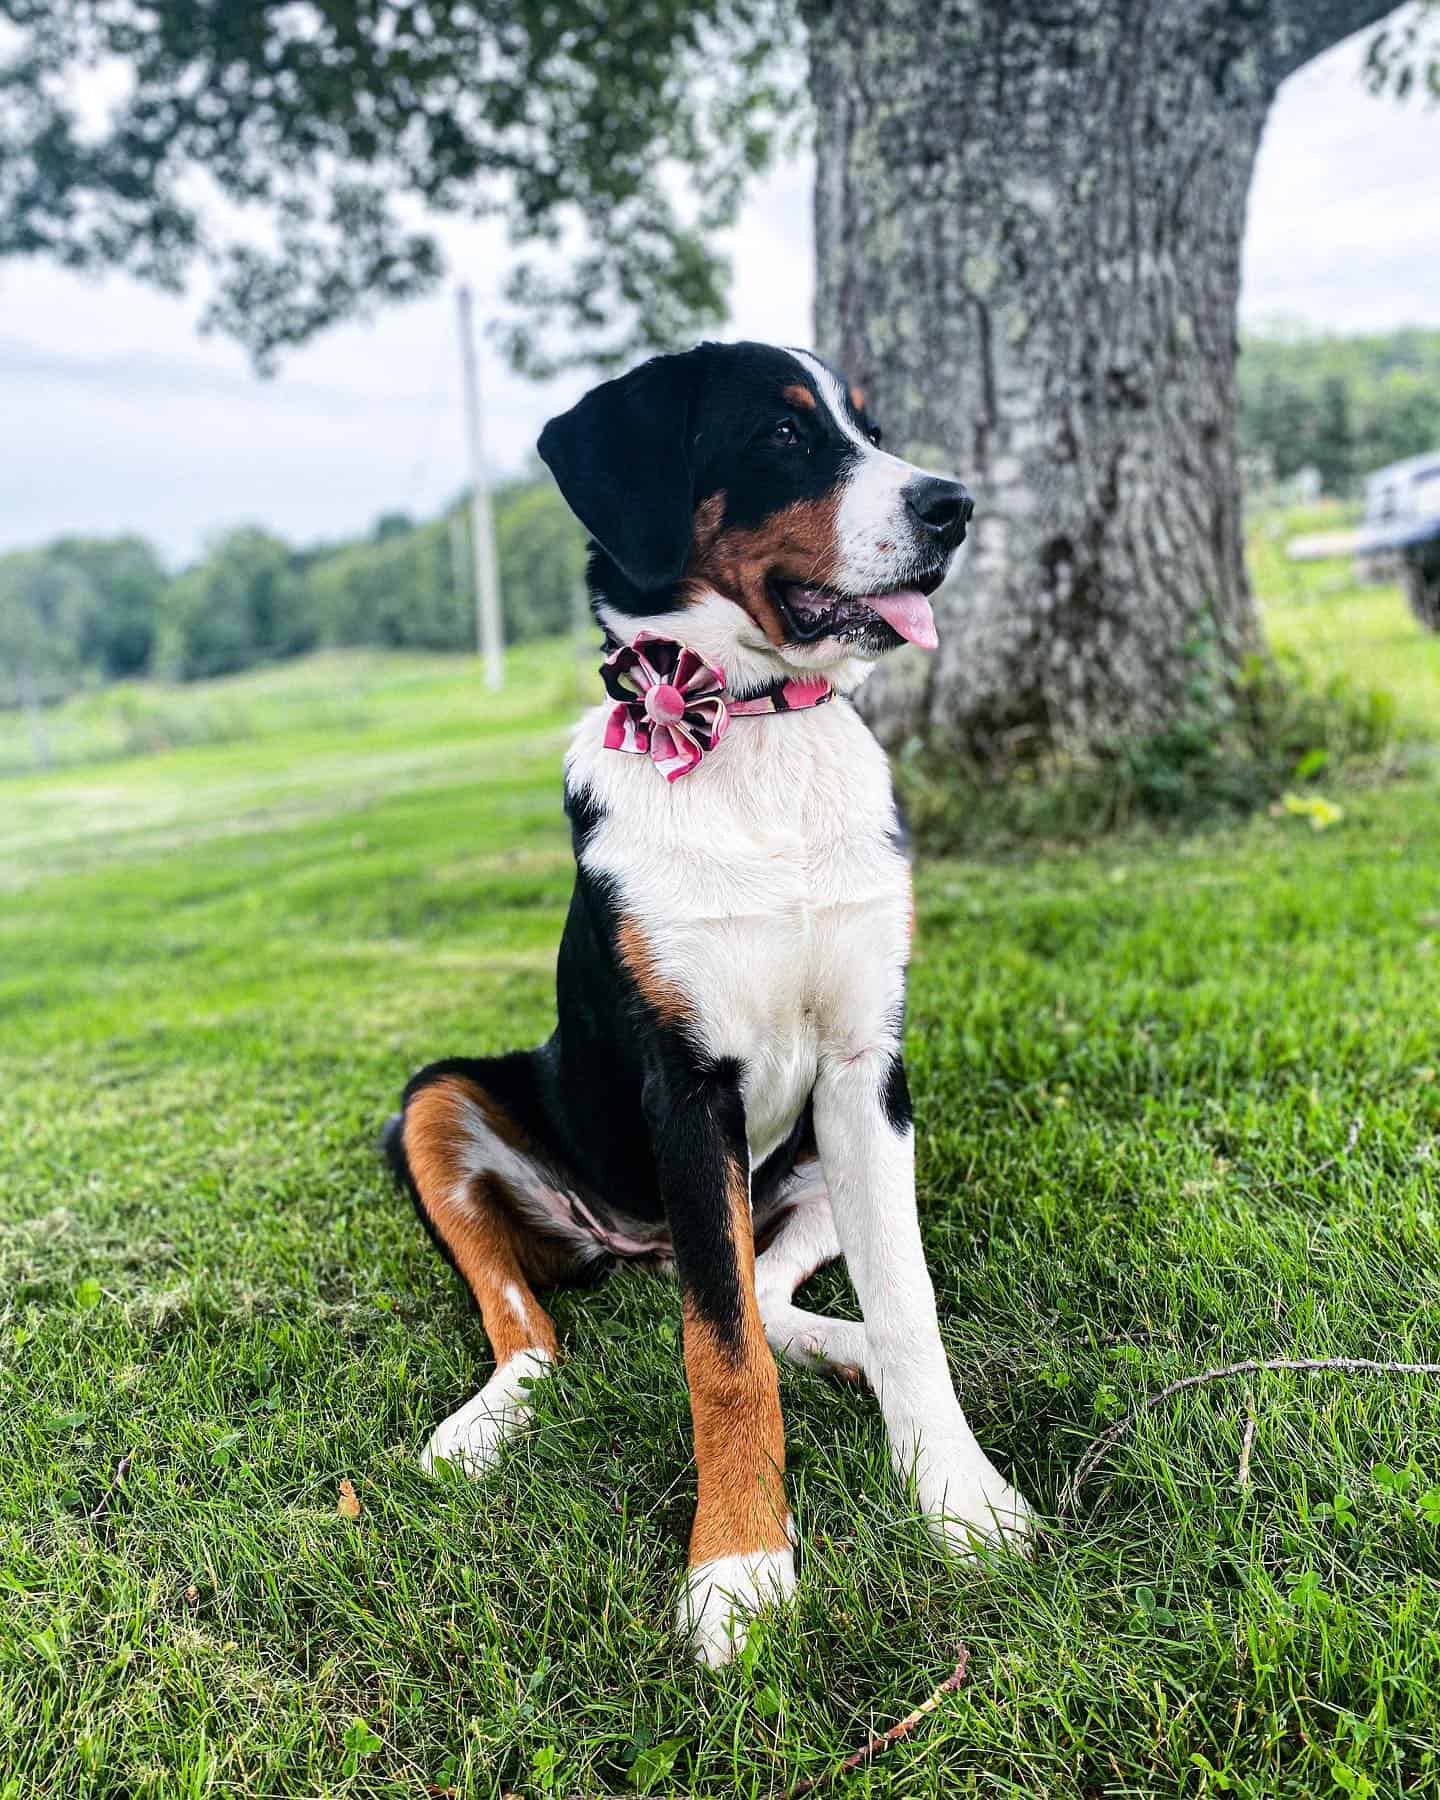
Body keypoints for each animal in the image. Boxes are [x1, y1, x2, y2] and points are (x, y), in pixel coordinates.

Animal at [381, 343, 1036, 1663]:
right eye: (783, 439)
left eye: (866, 425)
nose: (953, 506)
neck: (757, 742)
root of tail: (630, 1239)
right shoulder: (686, 1087)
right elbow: (720, 1352)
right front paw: (739, 1567)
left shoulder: (867, 1070)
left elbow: (905, 1307)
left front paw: (957, 1497)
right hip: (436, 1102)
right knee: (532, 1324)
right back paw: (482, 1425)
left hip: (826, 1161)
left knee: (781, 1294)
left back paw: (847, 1357)